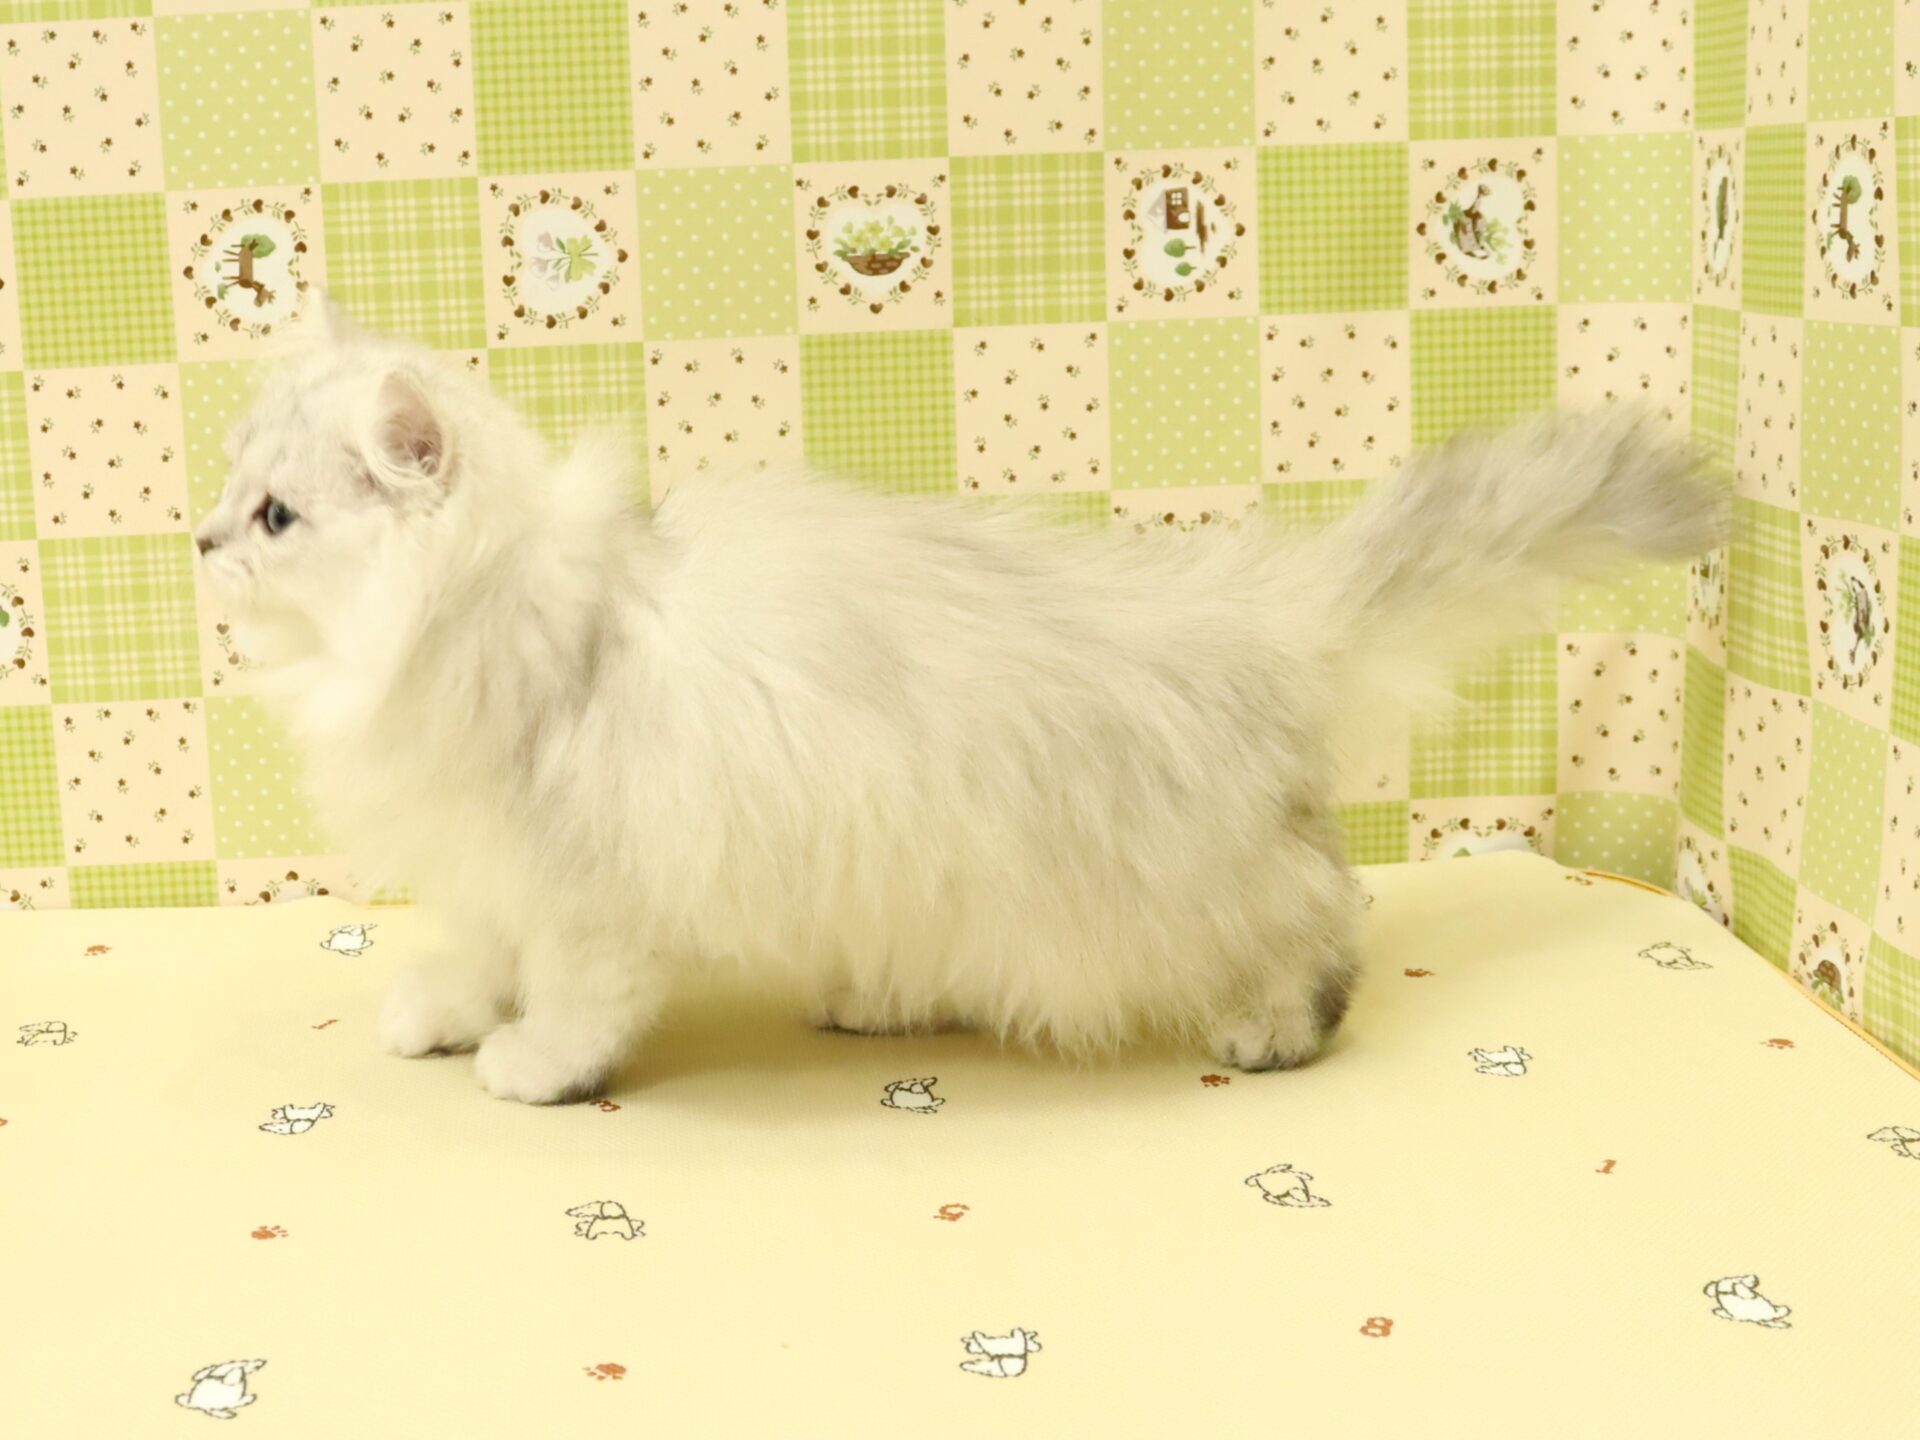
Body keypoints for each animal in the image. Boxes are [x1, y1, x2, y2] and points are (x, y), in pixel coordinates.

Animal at [192, 301, 1723, 1104]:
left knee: (1321, 929)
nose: (198, 540)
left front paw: (527, 1067)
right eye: (229, 489)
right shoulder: (491, 865)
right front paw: (440, 1015)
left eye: (276, 515)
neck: (498, 614)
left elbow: (569, 1006)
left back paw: (1270, 1033)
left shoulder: (589, 893)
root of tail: (1256, 609)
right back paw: (874, 1004)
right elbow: (472, 955)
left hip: (1186, 877)